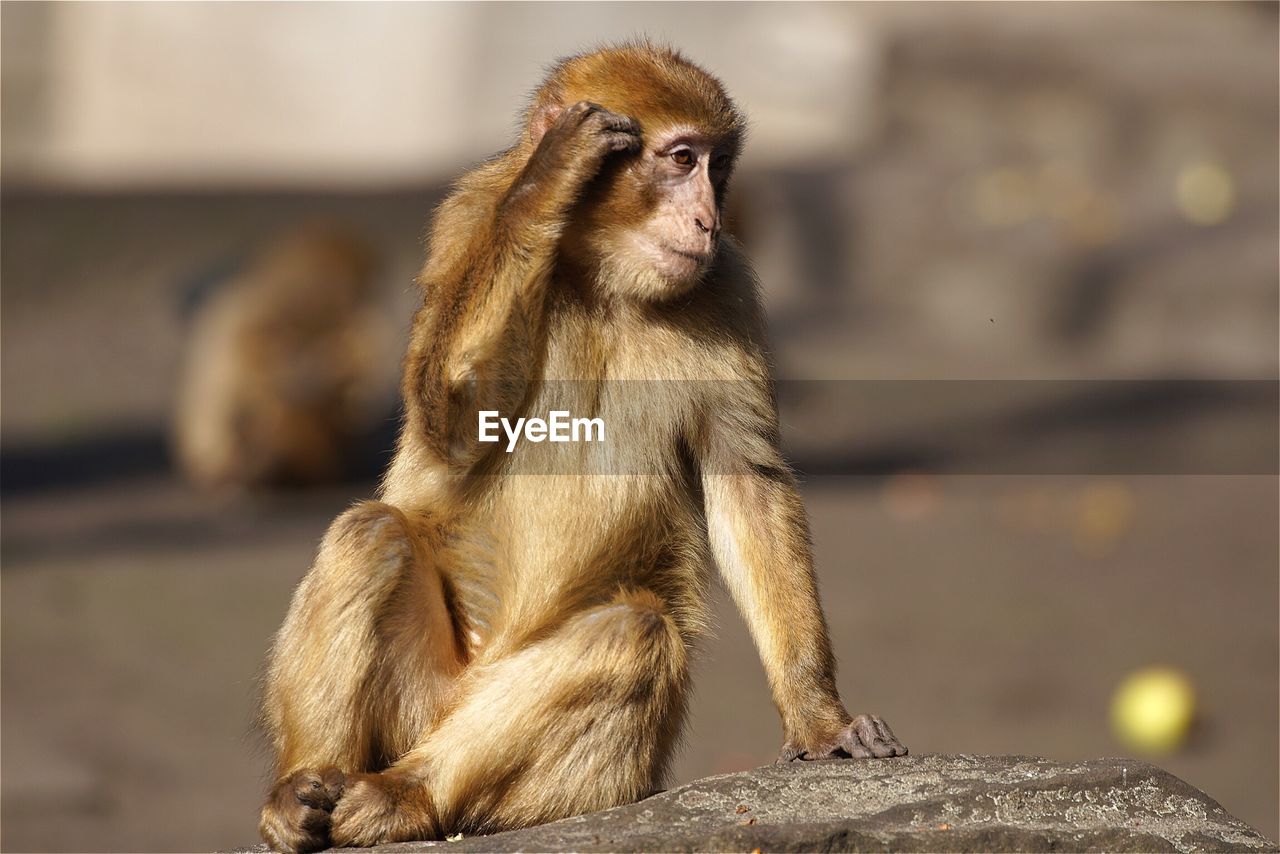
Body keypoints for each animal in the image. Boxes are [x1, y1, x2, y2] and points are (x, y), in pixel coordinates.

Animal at [254, 45, 906, 854]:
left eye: (717, 166)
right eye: (681, 158)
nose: (708, 217)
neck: (600, 271)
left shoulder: (725, 282)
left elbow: (745, 480)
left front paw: (819, 718)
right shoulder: (465, 218)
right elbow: (451, 420)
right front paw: (548, 181)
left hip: (580, 781)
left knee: (635, 632)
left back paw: (410, 795)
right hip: (419, 708)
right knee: (370, 532)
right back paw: (302, 786)